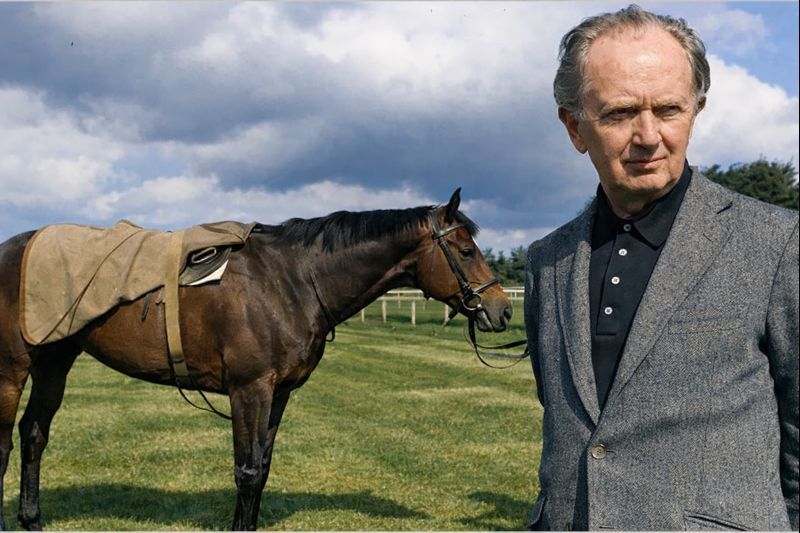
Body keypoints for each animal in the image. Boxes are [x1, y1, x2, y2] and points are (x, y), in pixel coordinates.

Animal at [0, 189, 512, 530]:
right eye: (466, 251)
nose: (501, 309)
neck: (292, 279)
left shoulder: (278, 394)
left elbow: (261, 470)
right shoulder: (250, 391)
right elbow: (246, 473)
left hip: (55, 359)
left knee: (34, 434)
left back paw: (33, 519)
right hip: (13, 367)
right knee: (6, 441)